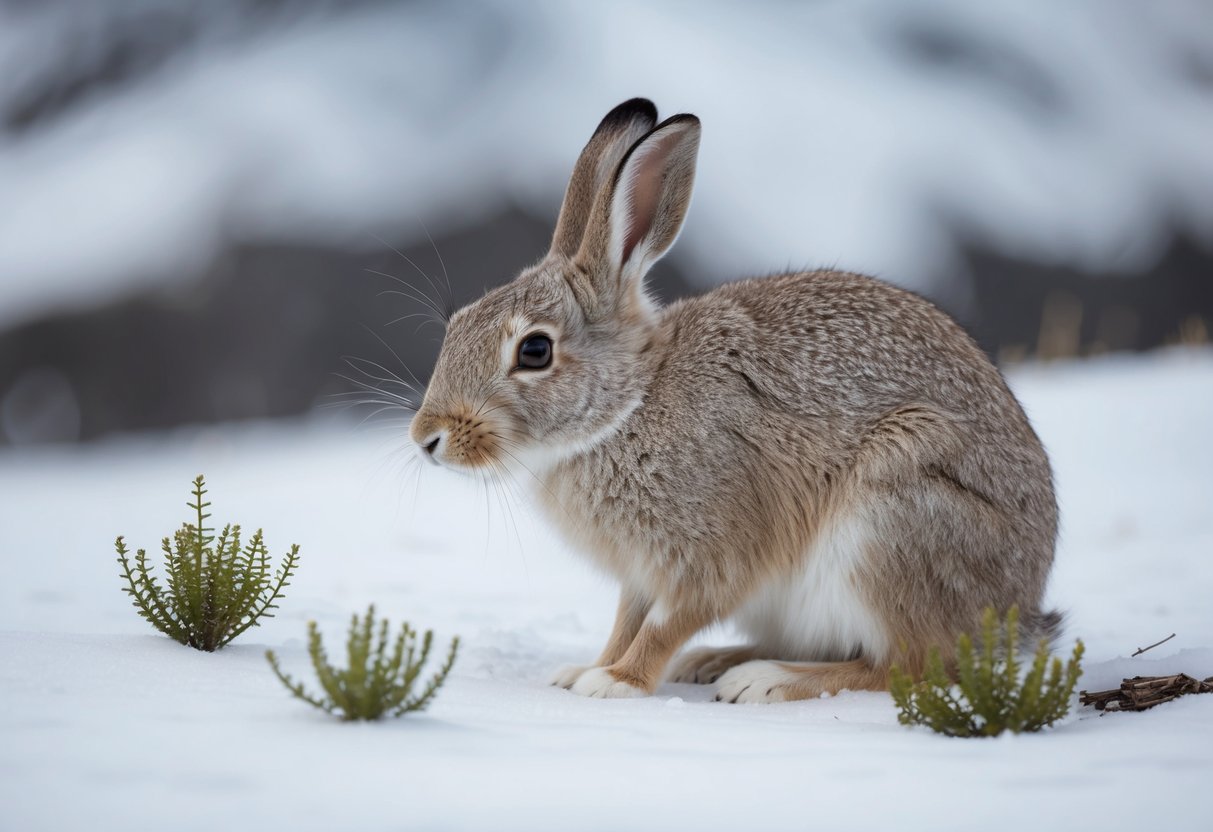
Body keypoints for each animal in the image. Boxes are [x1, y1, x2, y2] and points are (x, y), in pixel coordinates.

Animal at [409, 98, 1060, 702]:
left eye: (535, 351)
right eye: (459, 323)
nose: (426, 439)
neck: (630, 405)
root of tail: (1017, 613)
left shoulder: (712, 550)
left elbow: (668, 623)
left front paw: (617, 683)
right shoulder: (642, 573)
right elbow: (627, 620)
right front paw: (586, 670)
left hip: (893, 514)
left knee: (909, 665)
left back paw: (764, 680)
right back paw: (715, 662)